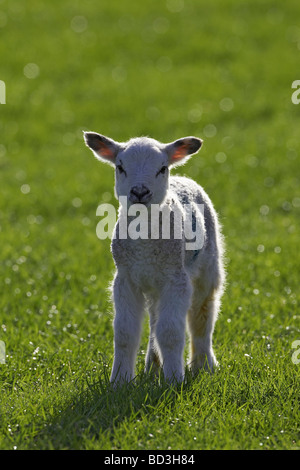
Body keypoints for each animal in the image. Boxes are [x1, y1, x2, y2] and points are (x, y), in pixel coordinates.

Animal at [83, 130, 224, 384]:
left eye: (162, 168)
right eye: (120, 167)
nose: (139, 192)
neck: (144, 246)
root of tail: (184, 178)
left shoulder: (176, 279)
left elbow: (170, 332)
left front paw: (174, 381)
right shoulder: (125, 279)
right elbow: (125, 332)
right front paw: (119, 382)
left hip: (207, 267)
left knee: (202, 315)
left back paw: (204, 365)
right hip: (153, 286)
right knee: (154, 320)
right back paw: (154, 366)